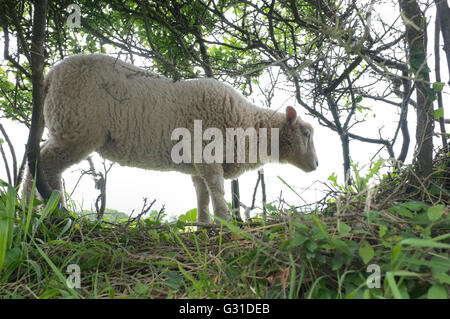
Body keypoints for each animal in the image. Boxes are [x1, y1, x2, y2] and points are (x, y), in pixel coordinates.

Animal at [24, 54, 318, 225]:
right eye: (306, 134)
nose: (316, 165)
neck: (246, 124)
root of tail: (50, 77)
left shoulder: (198, 165)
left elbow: (202, 197)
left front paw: (204, 227)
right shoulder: (208, 154)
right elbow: (217, 191)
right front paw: (226, 224)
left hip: (65, 125)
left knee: (35, 160)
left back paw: (27, 210)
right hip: (78, 126)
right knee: (47, 163)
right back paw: (56, 209)